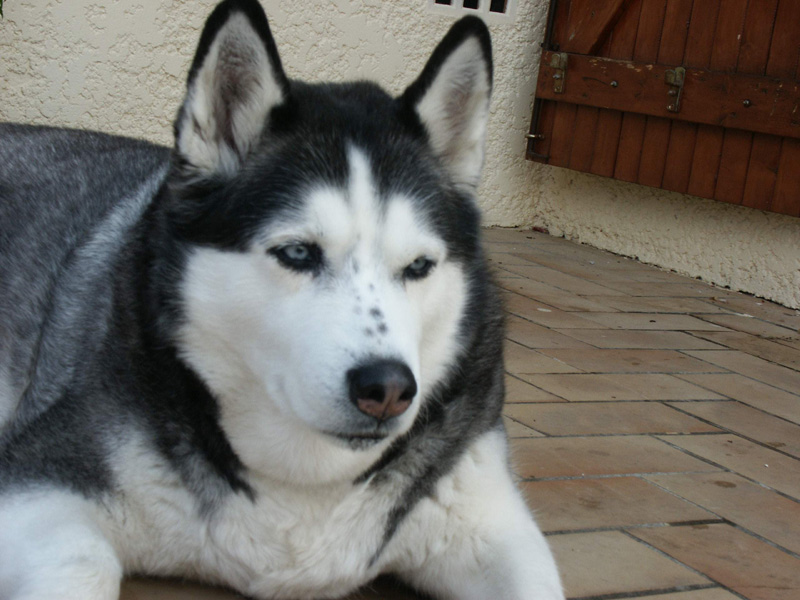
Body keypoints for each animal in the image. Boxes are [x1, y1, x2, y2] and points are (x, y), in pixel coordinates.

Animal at [0, 1, 564, 600]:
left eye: (418, 267)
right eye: (297, 253)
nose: (387, 390)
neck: (305, 483)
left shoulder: (489, 518)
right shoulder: (38, 478)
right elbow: (84, 559)